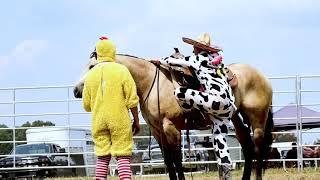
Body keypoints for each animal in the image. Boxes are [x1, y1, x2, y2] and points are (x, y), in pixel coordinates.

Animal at [74, 53, 272, 180]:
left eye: (92, 66)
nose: (76, 90)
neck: (152, 83)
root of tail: (261, 76)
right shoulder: (157, 131)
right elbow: (168, 160)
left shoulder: (171, 127)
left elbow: (177, 159)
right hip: (237, 120)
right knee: (247, 147)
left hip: (258, 121)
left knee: (258, 149)